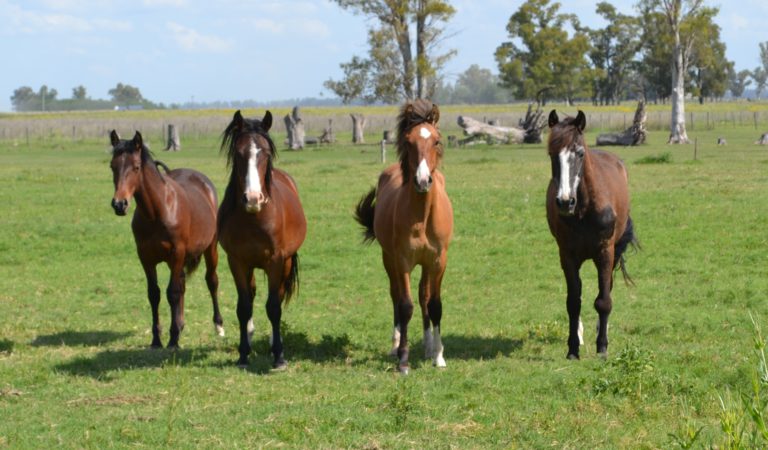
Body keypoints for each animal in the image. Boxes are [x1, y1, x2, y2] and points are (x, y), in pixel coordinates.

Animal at [108, 130, 224, 348]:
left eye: (136, 167)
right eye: (113, 166)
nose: (119, 204)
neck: (158, 211)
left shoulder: (176, 253)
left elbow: (173, 292)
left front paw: (173, 339)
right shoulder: (146, 258)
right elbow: (154, 294)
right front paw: (157, 339)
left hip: (210, 248)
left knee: (211, 281)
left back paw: (218, 326)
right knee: (183, 283)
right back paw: (181, 324)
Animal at [216, 110, 306, 370]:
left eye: (265, 153)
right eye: (239, 153)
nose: (253, 198)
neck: (254, 219)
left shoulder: (275, 261)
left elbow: (274, 307)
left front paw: (279, 356)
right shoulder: (236, 261)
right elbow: (244, 307)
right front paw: (243, 354)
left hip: (286, 263)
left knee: (278, 296)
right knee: (252, 295)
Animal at [356, 100, 452, 374]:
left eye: (437, 141)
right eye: (408, 142)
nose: (422, 181)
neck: (422, 216)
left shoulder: (438, 261)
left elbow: (434, 305)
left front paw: (438, 356)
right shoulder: (403, 261)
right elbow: (405, 305)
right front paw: (403, 360)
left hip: (426, 264)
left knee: (424, 296)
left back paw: (428, 346)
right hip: (389, 260)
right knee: (396, 296)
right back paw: (395, 344)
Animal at [544, 110, 636, 360]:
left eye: (580, 153)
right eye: (552, 154)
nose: (565, 201)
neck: (584, 210)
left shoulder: (604, 252)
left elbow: (603, 300)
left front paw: (602, 347)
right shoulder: (567, 255)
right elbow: (573, 302)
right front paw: (573, 348)